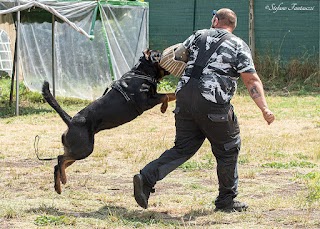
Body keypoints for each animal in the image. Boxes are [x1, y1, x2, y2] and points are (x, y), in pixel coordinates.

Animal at [41, 49, 176, 194]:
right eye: (158, 55)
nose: (170, 53)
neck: (142, 73)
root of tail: (71, 121)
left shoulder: (152, 97)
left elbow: (171, 94)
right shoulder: (146, 102)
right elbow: (165, 96)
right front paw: (163, 108)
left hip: (76, 149)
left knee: (58, 165)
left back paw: (59, 187)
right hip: (84, 149)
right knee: (60, 159)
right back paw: (63, 180)